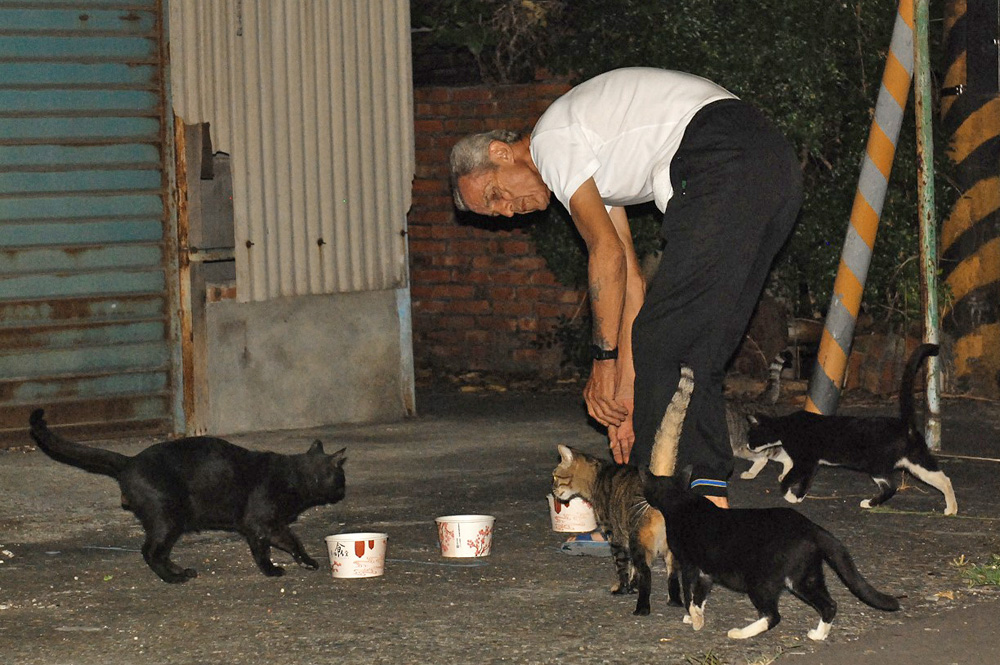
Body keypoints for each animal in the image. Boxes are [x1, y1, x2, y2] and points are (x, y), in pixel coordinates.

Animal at [28, 408, 348, 584]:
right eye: (342, 478)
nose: (344, 490)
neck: (295, 476)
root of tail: (129, 461)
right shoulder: (259, 524)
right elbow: (269, 549)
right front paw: (273, 571)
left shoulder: (270, 526)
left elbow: (290, 542)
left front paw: (305, 562)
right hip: (168, 518)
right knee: (149, 552)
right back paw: (174, 578)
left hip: (171, 523)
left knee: (158, 552)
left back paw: (182, 571)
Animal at [748, 342, 956, 512]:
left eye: (750, 435)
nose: (748, 446)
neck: (785, 426)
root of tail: (906, 424)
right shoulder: (812, 463)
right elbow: (806, 481)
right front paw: (799, 497)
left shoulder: (804, 461)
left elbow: (788, 480)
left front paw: (789, 496)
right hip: (917, 462)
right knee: (944, 479)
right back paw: (951, 509)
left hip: (877, 465)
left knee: (891, 487)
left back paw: (869, 503)